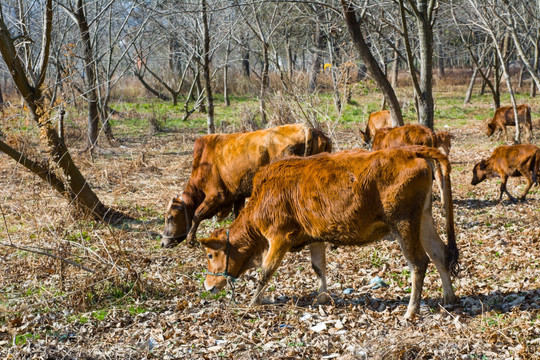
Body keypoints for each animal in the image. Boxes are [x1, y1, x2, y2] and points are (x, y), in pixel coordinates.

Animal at [160, 123, 332, 248]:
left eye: (170, 218)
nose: (163, 243)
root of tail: (307, 129)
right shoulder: (237, 196)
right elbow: (237, 214)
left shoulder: (216, 195)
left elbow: (197, 214)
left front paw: (191, 240)